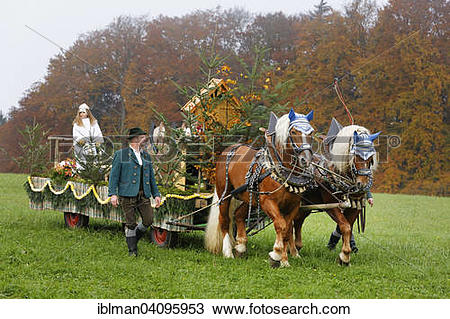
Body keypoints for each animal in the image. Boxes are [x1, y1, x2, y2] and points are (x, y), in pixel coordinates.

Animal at [206, 109, 314, 268]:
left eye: (311, 132)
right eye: (294, 132)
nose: (305, 160)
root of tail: (230, 149)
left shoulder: (293, 206)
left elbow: (287, 230)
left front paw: (284, 261)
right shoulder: (267, 201)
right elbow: (281, 225)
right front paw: (276, 254)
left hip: (249, 197)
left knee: (238, 215)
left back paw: (241, 246)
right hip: (225, 194)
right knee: (224, 220)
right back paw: (228, 251)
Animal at [292, 124, 380, 264]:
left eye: (371, 158)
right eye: (356, 156)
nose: (362, 185)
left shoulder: (355, 207)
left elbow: (347, 227)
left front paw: (343, 253)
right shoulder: (331, 205)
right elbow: (345, 226)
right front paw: (345, 255)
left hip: (306, 204)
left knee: (298, 220)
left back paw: (297, 246)